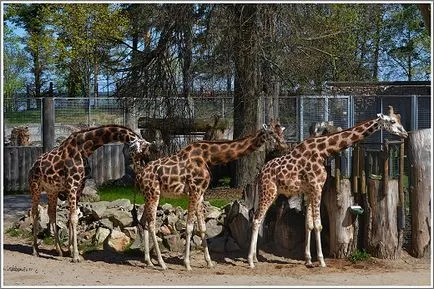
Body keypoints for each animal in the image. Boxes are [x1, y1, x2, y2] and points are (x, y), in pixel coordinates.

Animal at [28, 124, 151, 260]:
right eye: (138, 152)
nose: (141, 170)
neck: (84, 150)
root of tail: (33, 166)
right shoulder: (72, 185)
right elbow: (74, 218)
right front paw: (75, 256)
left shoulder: (79, 187)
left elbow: (72, 217)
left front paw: (70, 251)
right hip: (35, 187)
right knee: (34, 212)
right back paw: (35, 250)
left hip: (52, 190)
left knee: (51, 213)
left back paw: (59, 250)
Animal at [134, 120, 286, 268]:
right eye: (271, 132)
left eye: (281, 131)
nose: (283, 144)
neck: (209, 157)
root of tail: (140, 174)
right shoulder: (194, 190)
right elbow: (189, 227)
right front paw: (187, 263)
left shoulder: (201, 193)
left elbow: (202, 228)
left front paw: (209, 262)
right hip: (153, 193)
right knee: (152, 224)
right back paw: (162, 263)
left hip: (148, 195)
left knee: (144, 221)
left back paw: (148, 261)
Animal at [248, 106, 406, 268]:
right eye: (392, 121)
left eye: (399, 120)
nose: (405, 133)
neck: (323, 151)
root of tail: (259, 173)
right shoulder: (317, 186)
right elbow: (318, 225)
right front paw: (322, 260)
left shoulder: (309, 190)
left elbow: (309, 224)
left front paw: (308, 259)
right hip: (269, 191)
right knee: (256, 220)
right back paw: (250, 261)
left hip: (267, 193)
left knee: (258, 218)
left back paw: (255, 258)